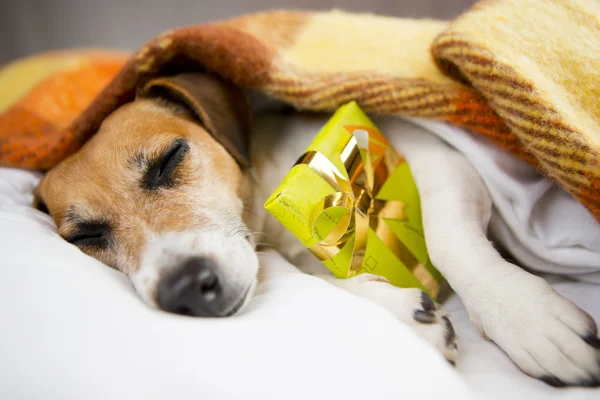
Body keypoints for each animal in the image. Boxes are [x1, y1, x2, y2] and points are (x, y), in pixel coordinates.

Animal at [35, 72, 596, 388]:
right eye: (84, 237)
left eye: (170, 158)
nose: (184, 289)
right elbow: (312, 278)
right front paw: (401, 312)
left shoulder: (438, 156)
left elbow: (450, 242)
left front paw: (526, 319)